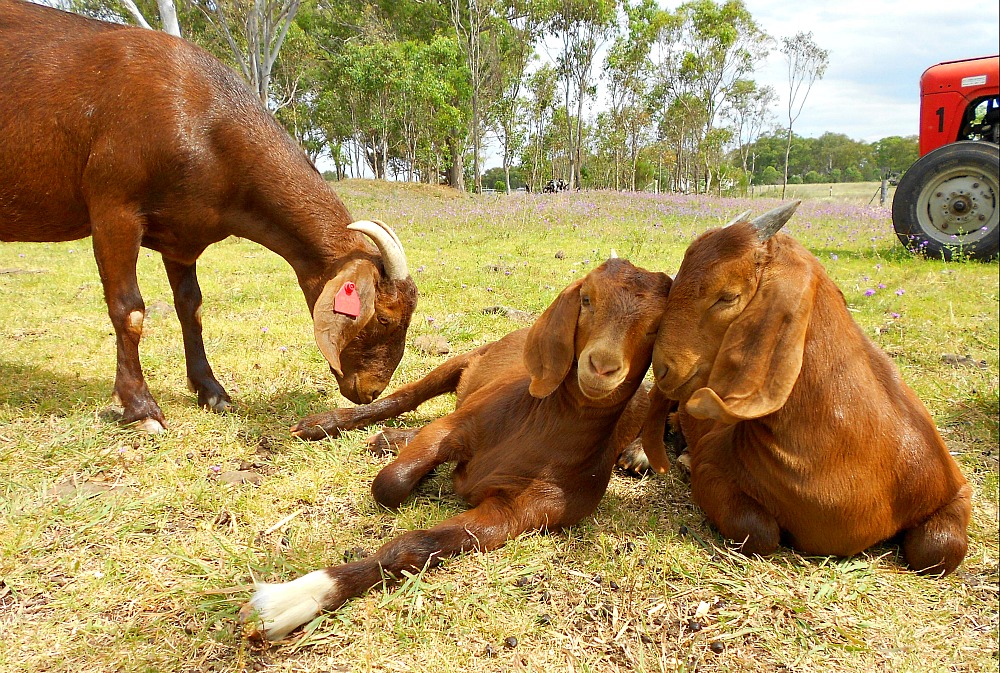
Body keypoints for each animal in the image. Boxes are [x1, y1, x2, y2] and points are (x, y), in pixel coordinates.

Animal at [0, 0, 414, 430]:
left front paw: (211, 391)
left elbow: (191, 307)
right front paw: (140, 407)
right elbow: (129, 309)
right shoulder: (114, 210)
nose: (371, 391)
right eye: (384, 318)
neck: (202, 120)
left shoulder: (181, 234)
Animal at [640, 202, 968, 576]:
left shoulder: (955, 489)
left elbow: (939, 551)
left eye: (727, 296)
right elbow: (759, 532)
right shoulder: (712, 466)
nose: (663, 369)